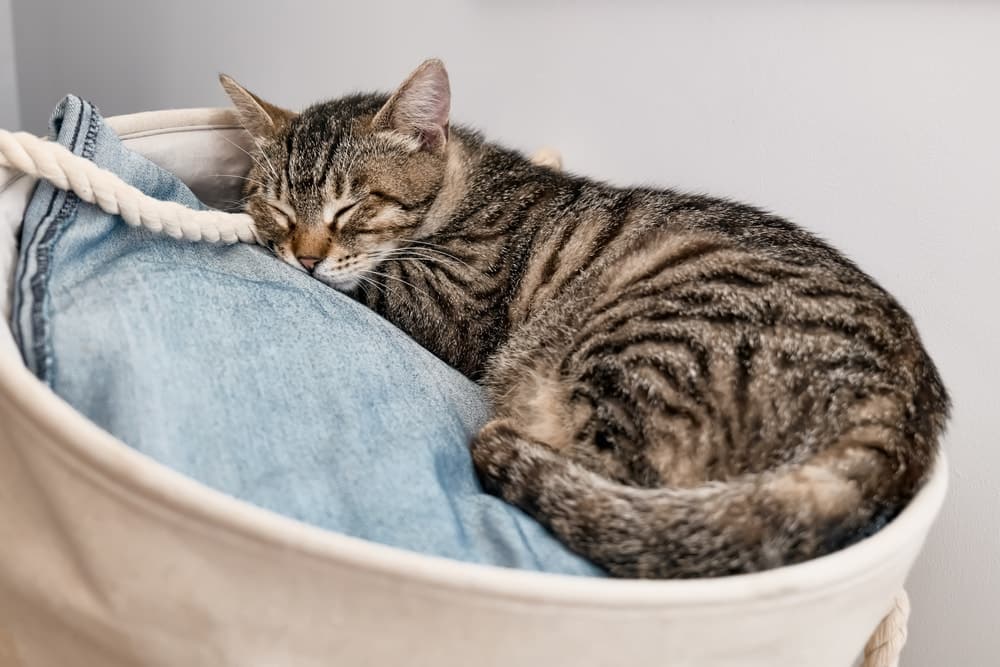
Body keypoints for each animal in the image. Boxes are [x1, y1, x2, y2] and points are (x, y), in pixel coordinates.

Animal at [223, 58, 948, 580]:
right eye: (280, 206)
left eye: (353, 207)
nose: (305, 254)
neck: (466, 185)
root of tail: (906, 403)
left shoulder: (446, 297)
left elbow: (374, 281)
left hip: (651, 345)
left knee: (620, 475)